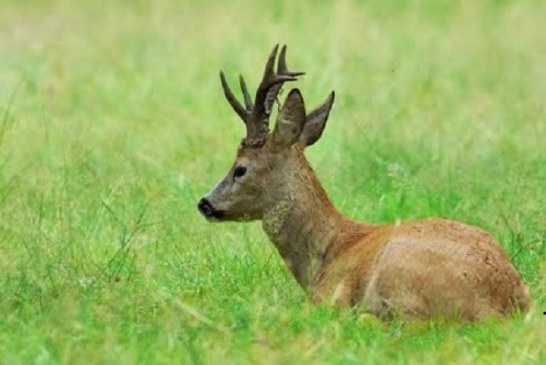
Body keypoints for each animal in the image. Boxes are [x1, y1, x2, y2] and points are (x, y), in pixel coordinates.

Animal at [197, 44, 528, 320]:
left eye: (240, 168)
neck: (325, 252)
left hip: (400, 272)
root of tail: (503, 302)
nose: (205, 203)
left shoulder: (327, 298)